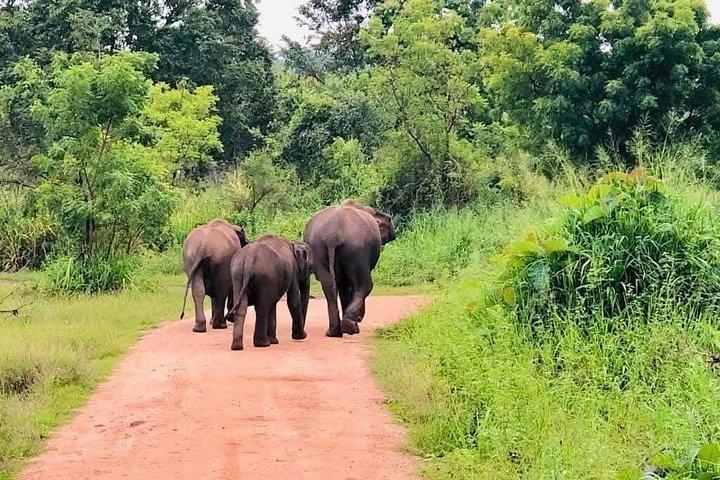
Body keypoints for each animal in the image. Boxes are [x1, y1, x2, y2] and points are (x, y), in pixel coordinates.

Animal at [303, 200, 396, 338]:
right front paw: (357, 322)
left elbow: (343, 285)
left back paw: (333, 332)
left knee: (329, 284)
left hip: (318, 248)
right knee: (363, 285)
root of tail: (333, 234)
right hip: (356, 249)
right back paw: (350, 328)